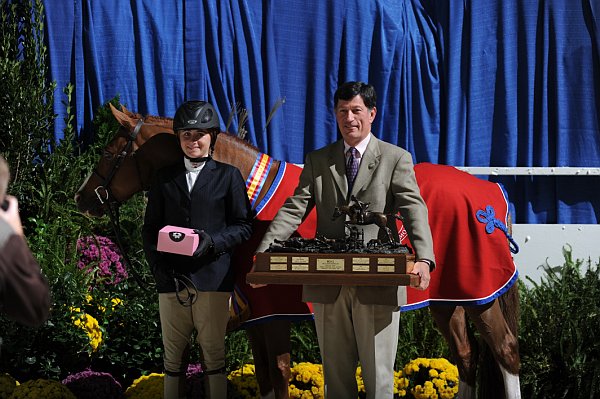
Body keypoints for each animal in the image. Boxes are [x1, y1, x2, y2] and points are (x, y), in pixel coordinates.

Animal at [76, 104, 520, 398]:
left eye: (109, 153)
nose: (83, 197)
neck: (252, 197)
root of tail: (490, 198)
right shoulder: (256, 318)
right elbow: (266, 379)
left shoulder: (274, 315)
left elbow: (280, 373)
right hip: (449, 299)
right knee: (466, 356)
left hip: (482, 297)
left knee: (505, 352)